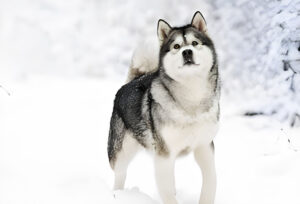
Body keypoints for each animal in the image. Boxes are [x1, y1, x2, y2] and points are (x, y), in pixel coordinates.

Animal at [106, 11, 219, 204]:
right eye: (176, 46)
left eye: (194, 43)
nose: (187, 52)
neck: (190, 103)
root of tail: (133, 80)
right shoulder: (164, 154)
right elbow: (167, 192)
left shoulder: (204, 147)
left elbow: (209, 182)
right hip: (121, 152)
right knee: (120, 173)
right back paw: (118, 195)